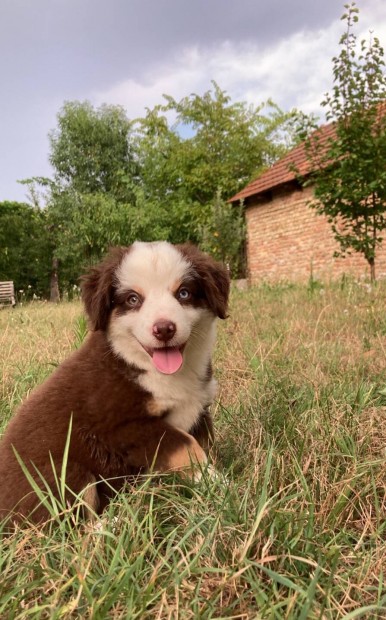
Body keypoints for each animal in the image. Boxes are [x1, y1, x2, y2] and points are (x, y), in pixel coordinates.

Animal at [0, 242, 229, 524]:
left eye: (183, 293)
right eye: (133, 299)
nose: (164, 329)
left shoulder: (198, 410)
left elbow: (204, 446)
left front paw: (210, 482)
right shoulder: (121, 428)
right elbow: (186, 446)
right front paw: (219, 484)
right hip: (63, 474)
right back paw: (120, 521)